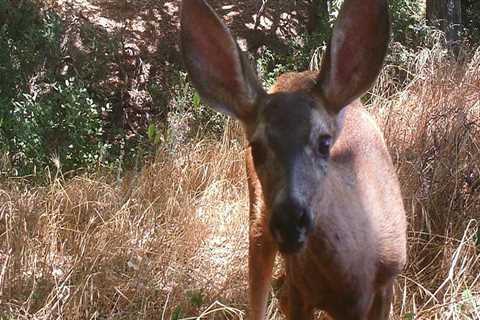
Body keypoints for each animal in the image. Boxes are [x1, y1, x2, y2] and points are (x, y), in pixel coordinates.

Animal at [182, 0, 406, 318]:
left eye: (325, 143)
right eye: (256, 147)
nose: (289, 220)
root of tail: (294, 75)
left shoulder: (388, 280)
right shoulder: (301, 286)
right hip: (258, 221)